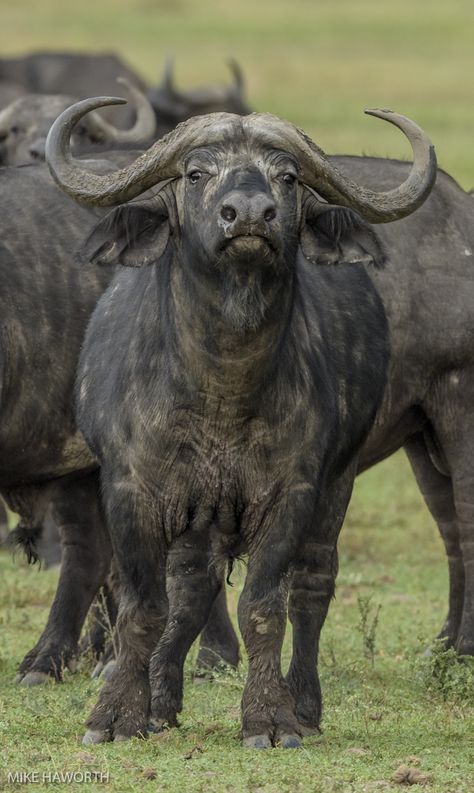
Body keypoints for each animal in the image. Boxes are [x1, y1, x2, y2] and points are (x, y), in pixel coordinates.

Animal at [0, 51, 472, 748]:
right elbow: (148, 604)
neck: (221, 385)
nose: (248, 214)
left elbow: (265, 606)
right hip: (415, 443)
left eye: (288, 177)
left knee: (353, 568)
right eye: (196, 172)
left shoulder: (292, 492)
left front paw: (270, 718)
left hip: (438, 420)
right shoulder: (133, 488)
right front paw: (120, 713)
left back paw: (348, 688)